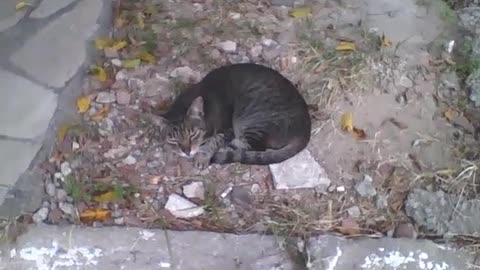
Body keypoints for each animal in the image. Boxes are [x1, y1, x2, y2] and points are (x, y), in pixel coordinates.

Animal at [159, 63, 314, 169]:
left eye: (192, 134)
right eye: (173, 140)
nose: (186, 152)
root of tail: (306, 131)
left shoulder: (227, 129)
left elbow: (212, 142)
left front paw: (202, 156)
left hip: (252, 121)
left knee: (253, 147)